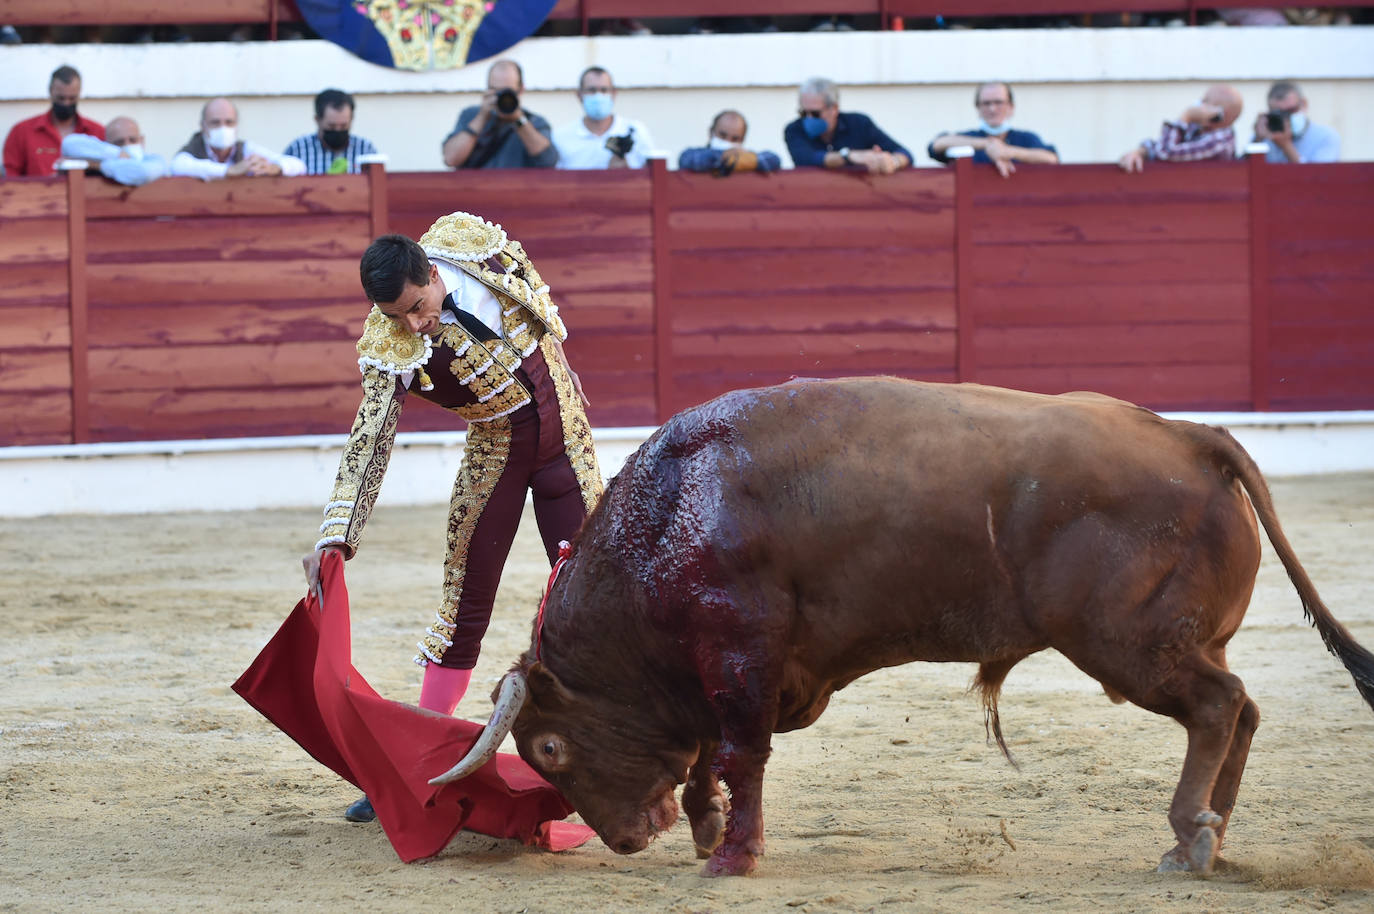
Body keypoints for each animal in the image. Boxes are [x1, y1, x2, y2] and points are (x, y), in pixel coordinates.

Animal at [428, 376, 1374, 879]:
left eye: (549, 749)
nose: (627, 841)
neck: (668, 521)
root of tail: (1193, 438)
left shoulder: (740, 655)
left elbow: (738, 754)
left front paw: (733, 856)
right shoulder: (726, 674)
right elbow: (710, 757)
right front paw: (706, 831)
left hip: (1131, 647)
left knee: (1218, 707)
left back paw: (1189, 839)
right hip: (1180, 642)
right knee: (1242, 708)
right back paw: (1215, 836)